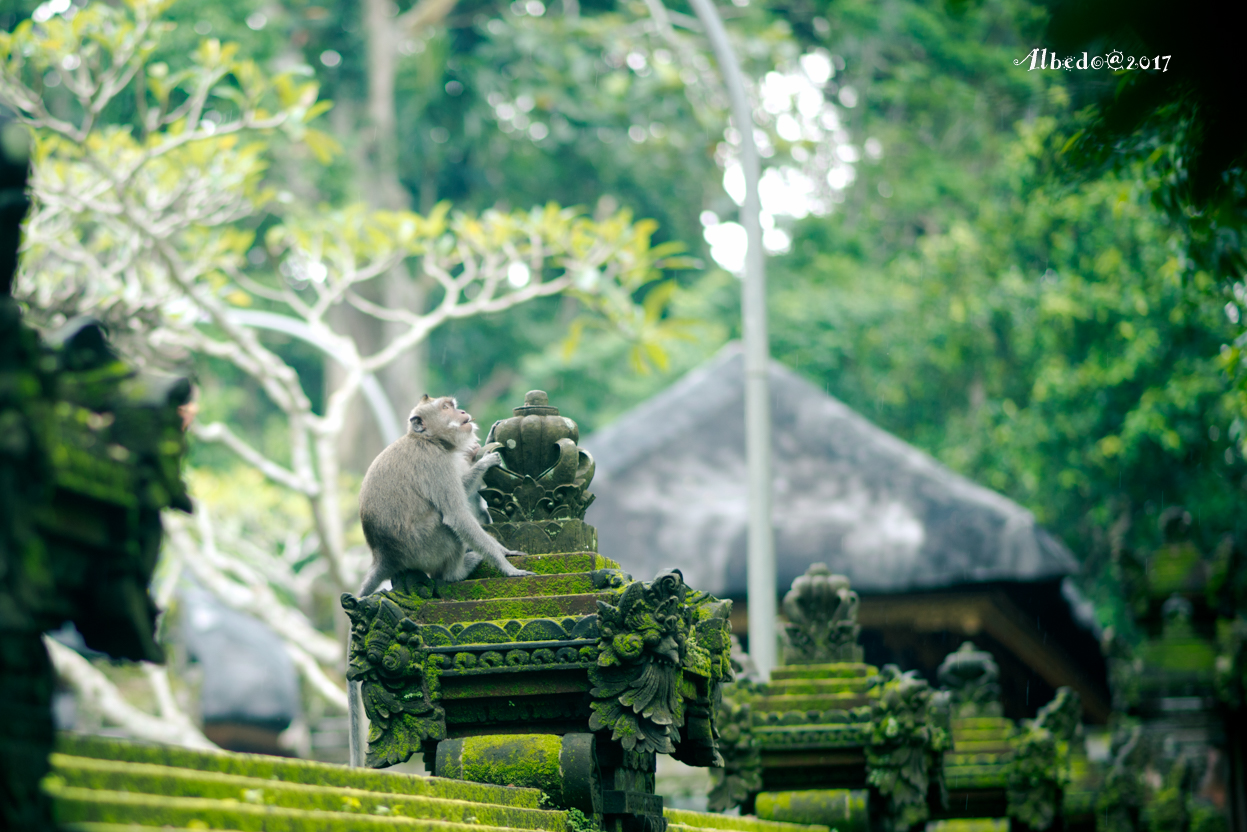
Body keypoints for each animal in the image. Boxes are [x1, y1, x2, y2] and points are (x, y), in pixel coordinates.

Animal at [354, 394, 533, 596]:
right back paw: (457, 572)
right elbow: (457, 515)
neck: (427, 439)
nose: (462, 412)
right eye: (446, 408)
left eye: (452, 406)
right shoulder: (435, 461)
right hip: (424, 550)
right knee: (447, 526)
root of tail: (383, 557)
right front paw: (507, 565)